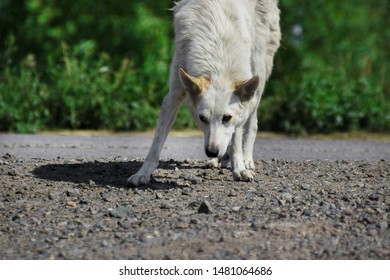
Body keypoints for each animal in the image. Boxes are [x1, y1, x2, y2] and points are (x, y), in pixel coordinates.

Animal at [128, 0, 280, 187]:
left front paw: (239, 169)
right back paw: (219, 160)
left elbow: (236, 140)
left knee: (252, 124)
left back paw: (246, 160)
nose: (212, 152)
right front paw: (143, 173)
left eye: (227, 118)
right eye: (202, 118)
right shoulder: (173, 97)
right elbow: (156, 143)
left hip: (258, 76)